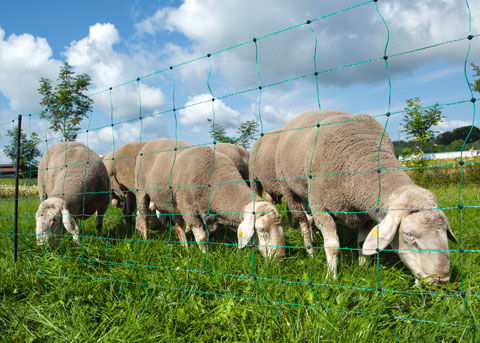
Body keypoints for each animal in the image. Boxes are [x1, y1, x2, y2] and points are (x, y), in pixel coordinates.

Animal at [135, 137, 284, 258]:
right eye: (261, 230)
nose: (280, 257)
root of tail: (150, 142)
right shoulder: (189, 209)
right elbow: (201, 238)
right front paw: (204, 256)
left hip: (173, 200)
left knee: (178, 225)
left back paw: (185, 248)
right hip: (141, 189)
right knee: (143, 215)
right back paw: (145, 238)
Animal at [276, 111, 456, 284]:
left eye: (444, 231)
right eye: (408, 234)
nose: (441, 280)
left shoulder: (369, 215)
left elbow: (363, 244)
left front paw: (363, 270)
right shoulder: (321, 208)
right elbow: (333, 246)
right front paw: (331, 278)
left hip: (305, 193)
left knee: (309, 217)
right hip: (289, 189)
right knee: (303, 222)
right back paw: (310, 251)